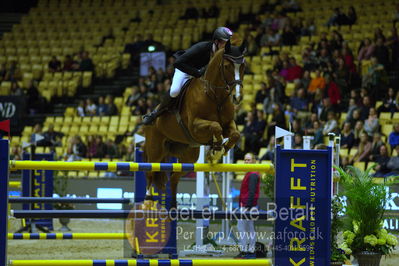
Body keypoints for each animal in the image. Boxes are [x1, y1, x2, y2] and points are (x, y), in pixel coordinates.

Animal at [142, 41, 245, 206]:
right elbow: (215, 126)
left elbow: (235, 134)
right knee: (150, 172)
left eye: (243, 66)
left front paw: (219, 150)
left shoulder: (228, 123)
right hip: (155, 150)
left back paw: (173, 206)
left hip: (189, 156)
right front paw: (216, 148)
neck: (215, 95)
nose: (237, 98)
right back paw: (147, 200)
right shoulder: (195, 126)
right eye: (227, 66)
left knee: (174, 177)